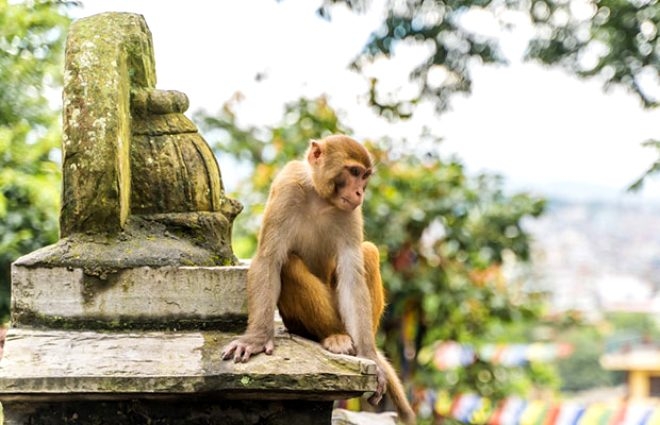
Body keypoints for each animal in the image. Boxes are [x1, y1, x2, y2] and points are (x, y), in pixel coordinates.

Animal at [224, 134, 416, 422]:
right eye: (354, 172)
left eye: (364, 176)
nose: (360, 193)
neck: (319, 197)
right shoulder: (286, 189)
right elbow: (269, 260)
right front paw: (256, 340)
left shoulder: (352, 212)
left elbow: (351, 274)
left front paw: (369, 356)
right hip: (298, 323)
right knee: (289, 264)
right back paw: (334, 337)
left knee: (368, 252)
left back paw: (352, 344)